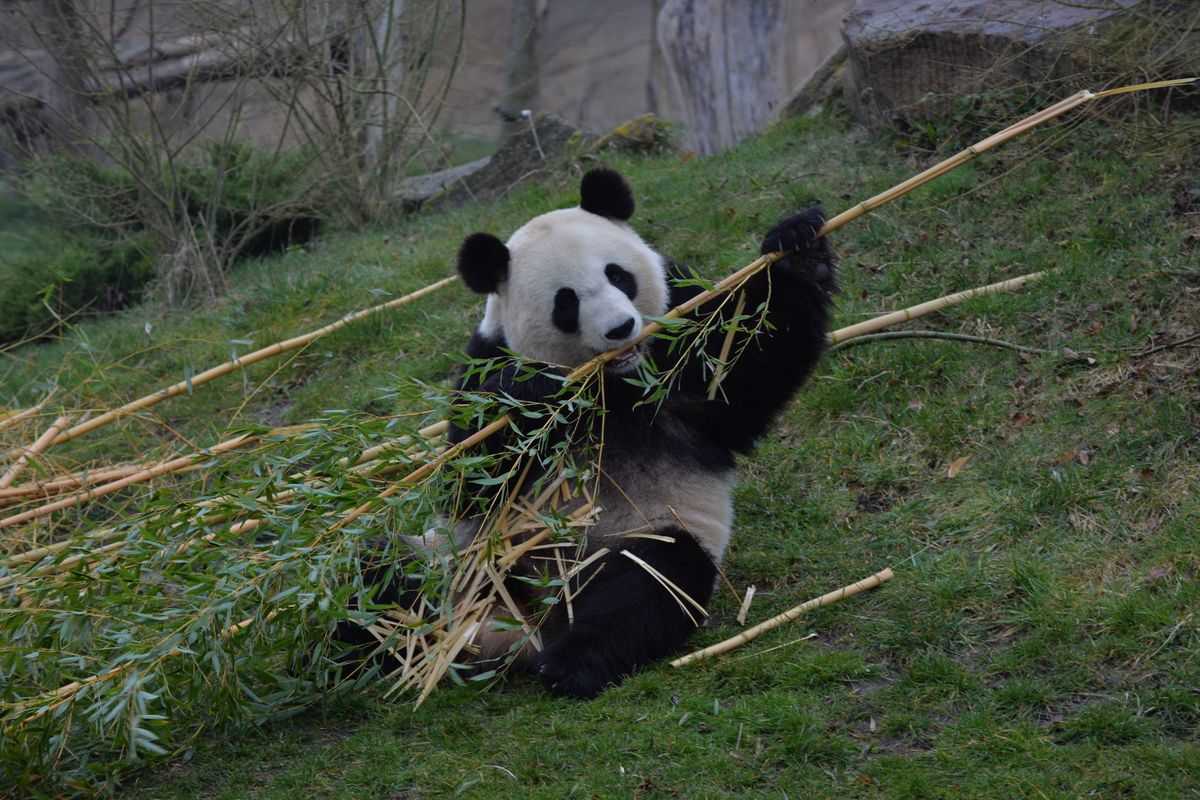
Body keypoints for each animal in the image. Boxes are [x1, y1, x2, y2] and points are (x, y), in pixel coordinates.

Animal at [346, 168, 835, 699]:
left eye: (618, 275)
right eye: (566, 302)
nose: (621, 328)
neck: (611, 381)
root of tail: (520, 629)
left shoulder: (682, 331)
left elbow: (742, 377)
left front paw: (795, 245)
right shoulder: (484, 361)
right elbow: (470, 482)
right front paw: (529, 393)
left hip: (625, 538)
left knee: (652, 581)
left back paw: (571, 664)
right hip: (460, 561)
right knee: (375, 574)